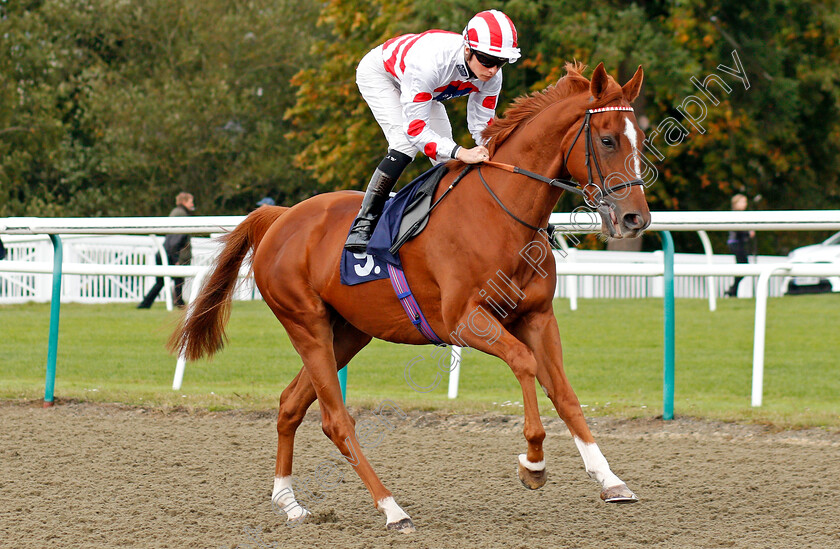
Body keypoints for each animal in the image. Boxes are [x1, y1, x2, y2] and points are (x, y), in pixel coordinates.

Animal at [171, 63, 652, 532]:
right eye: (607, 139)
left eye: (640, 139)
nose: (635, 218)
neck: (499, 214)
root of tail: (280, 218)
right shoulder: (464, 321)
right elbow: (524, 363)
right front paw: (533, 464)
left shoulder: (537, 316)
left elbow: (565, 393)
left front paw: (610, 480)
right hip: (305, 324)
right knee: (336, 420)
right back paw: (391, 508)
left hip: (348, 332)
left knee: (291, 404)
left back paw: (289, 502)